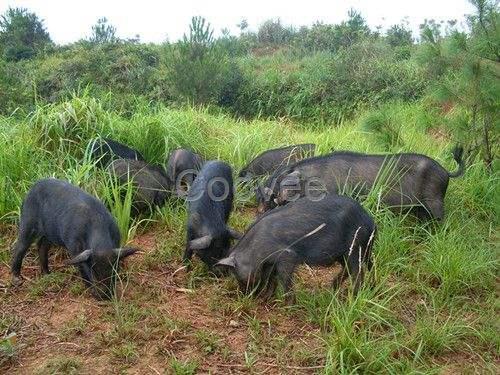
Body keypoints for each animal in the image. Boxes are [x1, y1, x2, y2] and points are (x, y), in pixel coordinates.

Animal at [10, 178, 139, 300]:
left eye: (113, 269)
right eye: (93, 270)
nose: (103, 295)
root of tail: (32, 188)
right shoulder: (75, 249)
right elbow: (82, 268)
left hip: (49, 234)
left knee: (41, 245)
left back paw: (47, 274)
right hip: (27, 222)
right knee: (20, 246)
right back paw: (17, 280)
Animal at [217, 195, 376, 304]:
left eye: (240, 278)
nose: (245, 295)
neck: (256, 250)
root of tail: (371, 222)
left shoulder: (287, 256)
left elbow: (283, 278)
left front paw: (288, 306)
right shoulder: (271, 262)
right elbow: (271, 278)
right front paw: (266, 299)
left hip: (355, 247)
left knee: (358, 272)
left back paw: (351, 298)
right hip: (346, 253)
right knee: (353, 268)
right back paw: (333, 288)